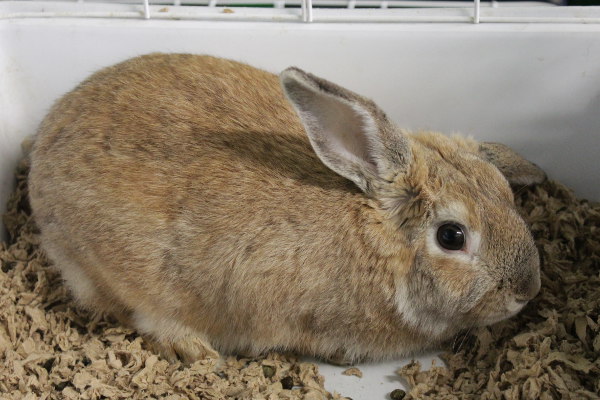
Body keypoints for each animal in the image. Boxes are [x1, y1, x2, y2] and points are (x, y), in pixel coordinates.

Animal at [27, 54, 544, 366]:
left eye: (502, 190)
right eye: (452, 237)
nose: (528, 290)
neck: (378, 243)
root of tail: (41, 157)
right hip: (133, 281)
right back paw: (204, 356)